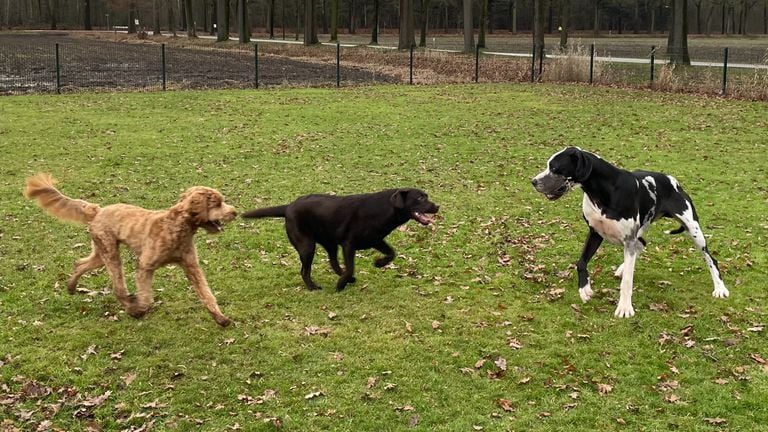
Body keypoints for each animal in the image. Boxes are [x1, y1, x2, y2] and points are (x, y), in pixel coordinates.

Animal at [24, 174, 237, 326]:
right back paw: (131, 308)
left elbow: (206, 293)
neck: (177, 226)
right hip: (110, 251)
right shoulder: (145, 266)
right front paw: (140, 309)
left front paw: (220, 318)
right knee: (118, 288)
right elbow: (147, 296)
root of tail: (98, 210)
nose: (234, 212)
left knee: (80, 264)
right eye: (217, 203)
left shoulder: (191, 266)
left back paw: (71, 286)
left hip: (100, 252)